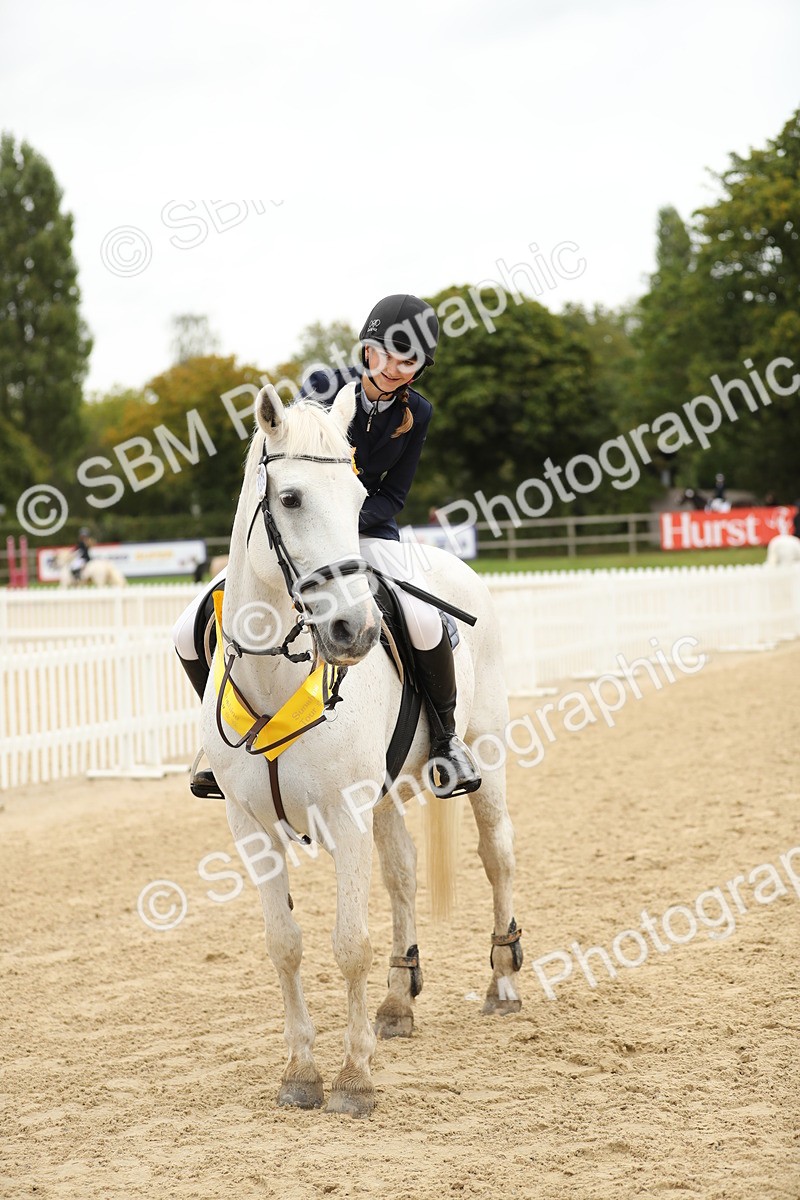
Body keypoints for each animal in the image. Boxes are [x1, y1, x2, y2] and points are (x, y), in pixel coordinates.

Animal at [201, 383, 521, 1118]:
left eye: (357, 499)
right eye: (290, 498)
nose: (353, 630)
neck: (278, 679)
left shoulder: (345, 815)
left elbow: (349, 943)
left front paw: (353, 1081)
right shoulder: (250, 826)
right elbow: (284, 945)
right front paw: (299, 1072)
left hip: (485, 757)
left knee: (497, 856)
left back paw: (503, 982)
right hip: (381, 795)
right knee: (402, 870)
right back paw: (399, 1000)